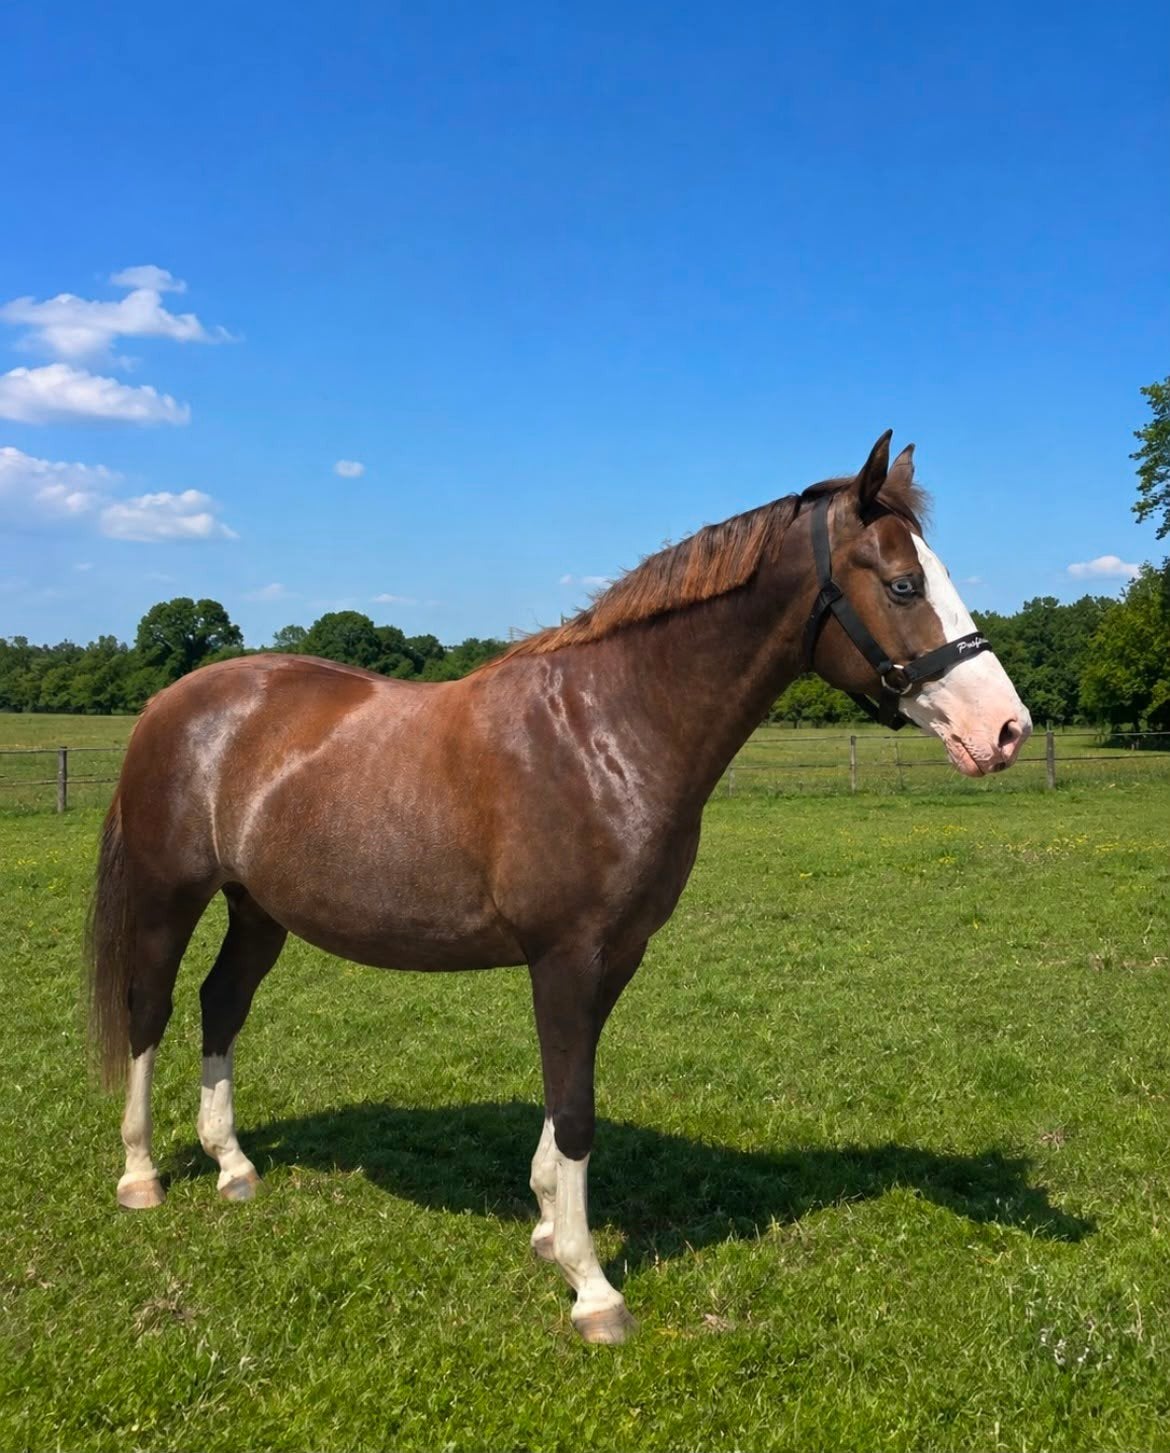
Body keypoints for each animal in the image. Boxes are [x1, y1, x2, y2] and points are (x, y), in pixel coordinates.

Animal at [87, 432, 1031, 1344]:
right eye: (904, 583)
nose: (1007, 729)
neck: (608, 729)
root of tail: (171, 700)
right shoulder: (565, 956)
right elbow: (576, 1108)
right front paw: (593, 1289)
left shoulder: (613, 957)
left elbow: (562, 1095)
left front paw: (547, 1227)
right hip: (171, 896)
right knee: (149, 1009)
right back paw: (140, 1174)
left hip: (258, 909)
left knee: (221, 1003)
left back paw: (233, 1165)